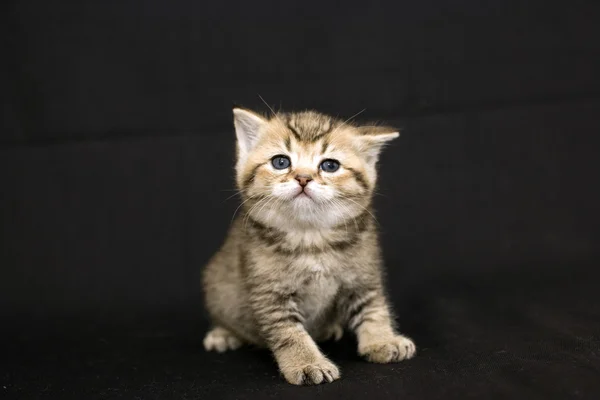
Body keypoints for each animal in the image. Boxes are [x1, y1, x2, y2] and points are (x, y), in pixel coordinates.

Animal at [200, 105, 412, 384]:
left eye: (330, 165)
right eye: (281, 162)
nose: (303, 178)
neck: (311, 239)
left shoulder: (363, 274)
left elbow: (373, 308)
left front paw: (383, 340)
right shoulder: (269, 293)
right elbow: (288, 332)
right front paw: (307, 363)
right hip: (216, 284)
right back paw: (223, 333)